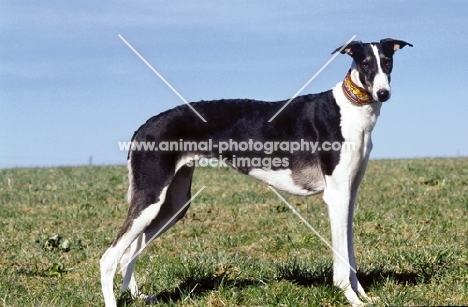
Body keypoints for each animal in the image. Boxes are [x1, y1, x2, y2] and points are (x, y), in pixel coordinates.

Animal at [100, 38, 412, 306]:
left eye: (387, 61)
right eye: (366, 64)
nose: (383, 94)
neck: (350, 110)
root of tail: (142, 128)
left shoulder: (350, 193)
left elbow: (350, 253)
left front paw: (364, 296)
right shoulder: (336, 196)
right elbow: (342, 259)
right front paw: (351, 298)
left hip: (173, 204)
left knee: (128, 253)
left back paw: (138, 296)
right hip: (151, 198)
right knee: (109, 258)